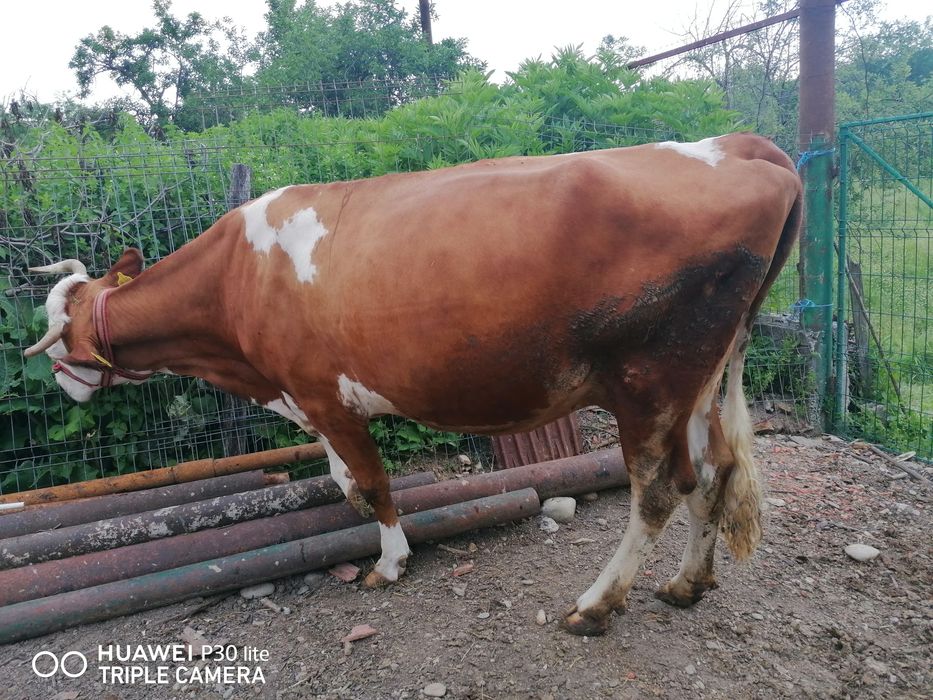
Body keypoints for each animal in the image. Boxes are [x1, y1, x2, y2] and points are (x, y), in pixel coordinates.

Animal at [24, 133, 801, 635]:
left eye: (58, 329)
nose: (64, 387)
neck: (237, 280)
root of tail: (740, 144)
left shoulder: (323, 393)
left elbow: (371, 483)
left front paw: (390, 562)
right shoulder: (310, 399)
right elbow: (343, 480)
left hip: (650, 382)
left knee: (659, 489)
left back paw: (595, 605)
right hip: (701, 381)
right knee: (712, 473)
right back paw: (686, 584)